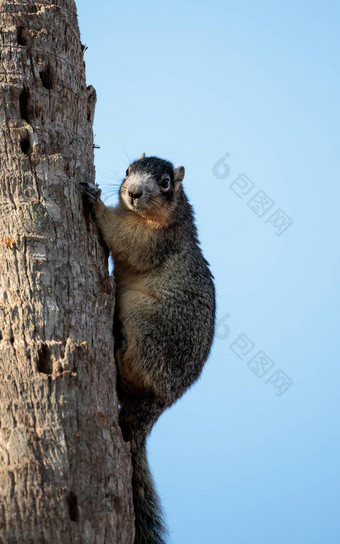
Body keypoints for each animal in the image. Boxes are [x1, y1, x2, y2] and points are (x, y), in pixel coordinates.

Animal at [80, 154, 215, 544]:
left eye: (166, 183)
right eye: (128, 171)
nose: (134, 192)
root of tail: (158, 402)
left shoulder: (157, 241)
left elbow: (127, 243)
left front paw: (95, 203)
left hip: (147, 323)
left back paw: (118, 344)